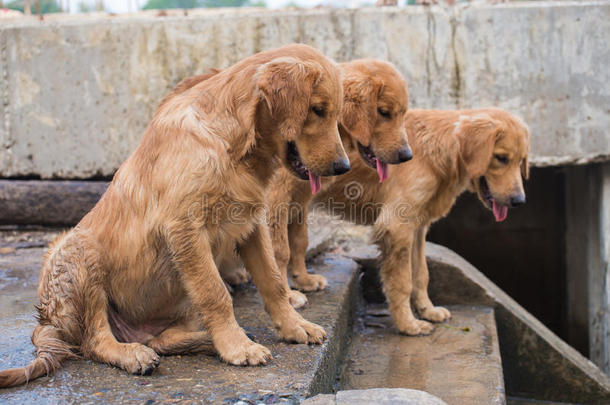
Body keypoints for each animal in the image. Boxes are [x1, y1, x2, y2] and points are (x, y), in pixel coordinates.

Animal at [0, 42, 350, 386]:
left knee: (161, 340)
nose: (343, 167)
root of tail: (46, 321)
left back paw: (203, 341)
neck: (231, 145)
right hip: (76, 254)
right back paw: (133, 353)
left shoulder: (251, 224)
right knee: (95, 341)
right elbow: (216, 293)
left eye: (334, 113)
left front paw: (294, 326)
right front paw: (236, 347)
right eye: (317, 109)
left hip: (180, 292)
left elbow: (273, 281)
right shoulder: (186, 230)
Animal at [282, 107, 528, 332]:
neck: (437, 149)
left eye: (521, 161)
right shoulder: (397, 227)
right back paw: (290, 297)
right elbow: (402, 282)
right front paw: (408, 324)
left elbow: (421, 274)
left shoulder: (418, 227)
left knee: (297, 242)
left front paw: (428, 310)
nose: (519, 201)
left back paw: (303, 280)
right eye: (501, 158)